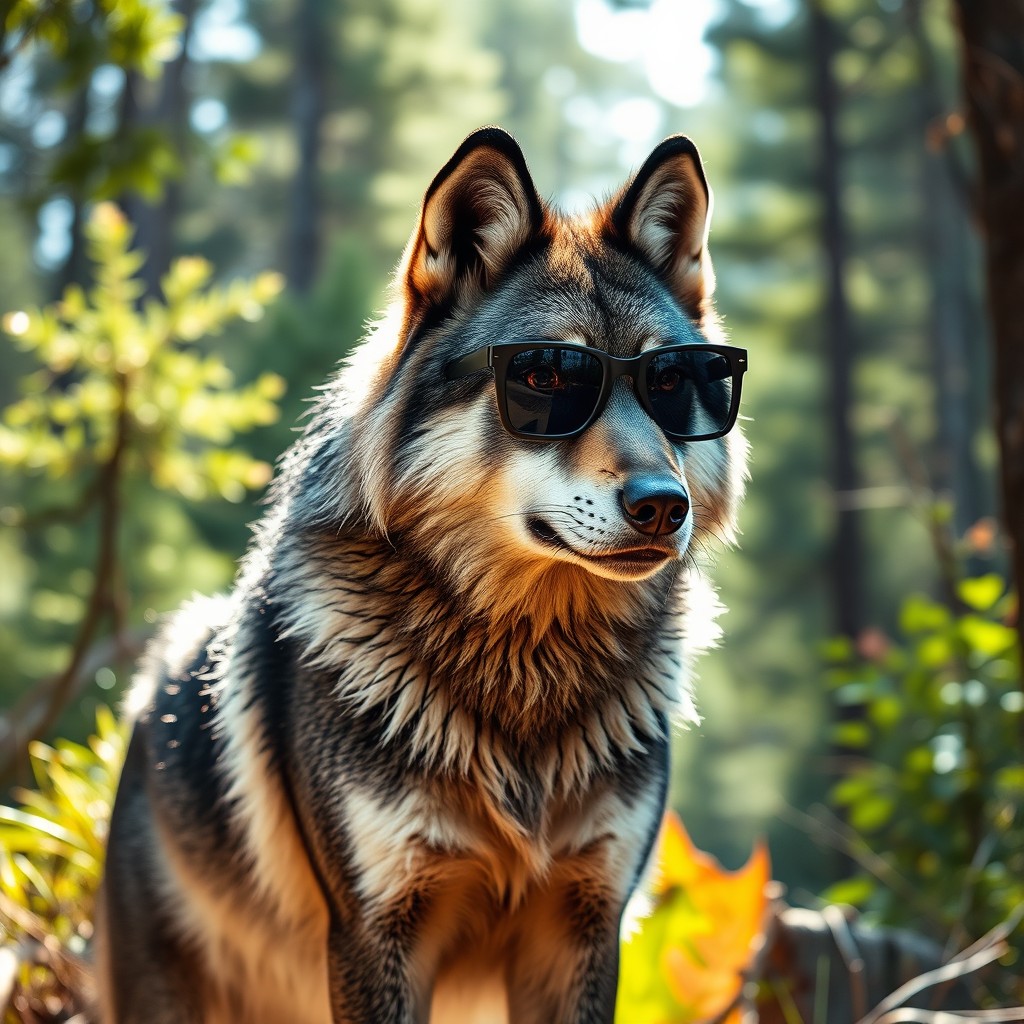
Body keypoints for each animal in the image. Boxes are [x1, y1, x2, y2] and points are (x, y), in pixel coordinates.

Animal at [97, 127, 748, 1024]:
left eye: (672, 383)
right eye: (546, 377)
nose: (663, 506)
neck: (523, 666)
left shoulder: (585, 926)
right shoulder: (378, 933)